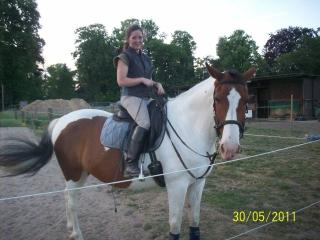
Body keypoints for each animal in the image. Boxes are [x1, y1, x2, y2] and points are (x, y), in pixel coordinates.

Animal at [0, 64, 255, 240]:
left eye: (246, 100)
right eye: (218, 98)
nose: (230, 147)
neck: (187, 125)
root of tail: (61, 120)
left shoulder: (197, 184)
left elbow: (195, 225)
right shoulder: (177, 185)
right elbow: (175, 226)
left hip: (80, 175)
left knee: (67, 198)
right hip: (73, 175)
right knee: (71, 201)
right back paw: (77, 234)